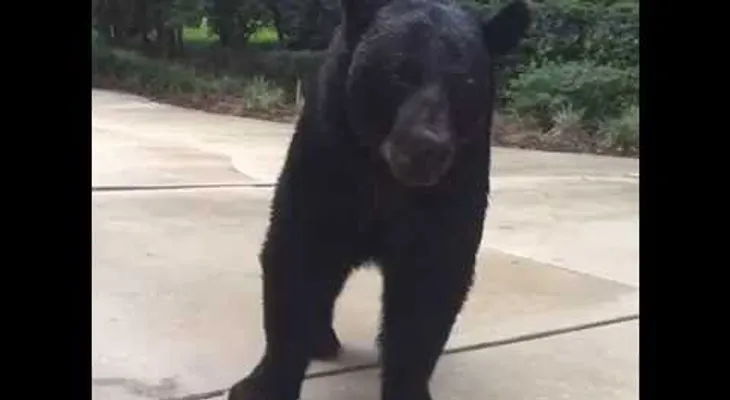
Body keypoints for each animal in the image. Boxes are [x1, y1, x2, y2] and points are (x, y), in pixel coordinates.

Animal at [228, 1, 531, 399]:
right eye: (398, 72)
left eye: (465, 82)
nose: (428, 147)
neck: (385, 175)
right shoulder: (328, 157)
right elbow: (297, 261)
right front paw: (264, 385)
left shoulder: (456, 182)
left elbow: (429, 288)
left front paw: (407, 386)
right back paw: (321, 339)